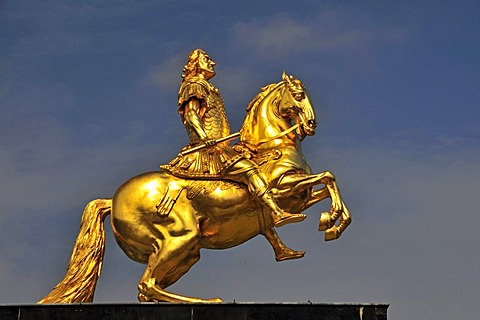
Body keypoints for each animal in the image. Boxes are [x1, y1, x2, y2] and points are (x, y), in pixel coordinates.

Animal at [38, 73, 348, 304]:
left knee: (147, 290)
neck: (271, 146)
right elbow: (327, 177)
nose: (311, 124)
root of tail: (112, 200)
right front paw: (327, 222)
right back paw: (207, 301)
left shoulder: (301, 197)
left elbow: (329, 185)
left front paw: (330, 222)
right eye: (299, 95)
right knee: (147, 285)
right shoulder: (284, 188)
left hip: (188, 253)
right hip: (180, 239)